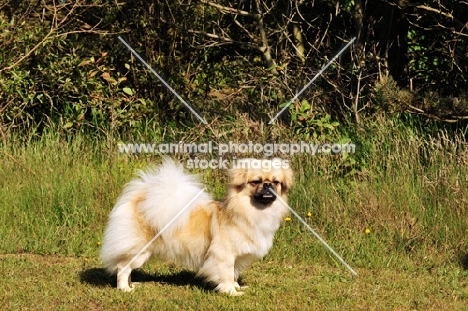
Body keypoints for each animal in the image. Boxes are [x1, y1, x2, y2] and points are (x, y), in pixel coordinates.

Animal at [101, 160, 292, 296]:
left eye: (276, 182)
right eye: (256, 182)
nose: (267, 185)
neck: (250, 211)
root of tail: (138, 199)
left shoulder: (236, 258)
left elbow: (234, 273)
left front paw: (237, 287)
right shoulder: (224, 255)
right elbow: (226, 274)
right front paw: (230, 292)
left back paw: (132, 284)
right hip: (140, 251)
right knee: (122, 267)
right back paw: (124, 289)